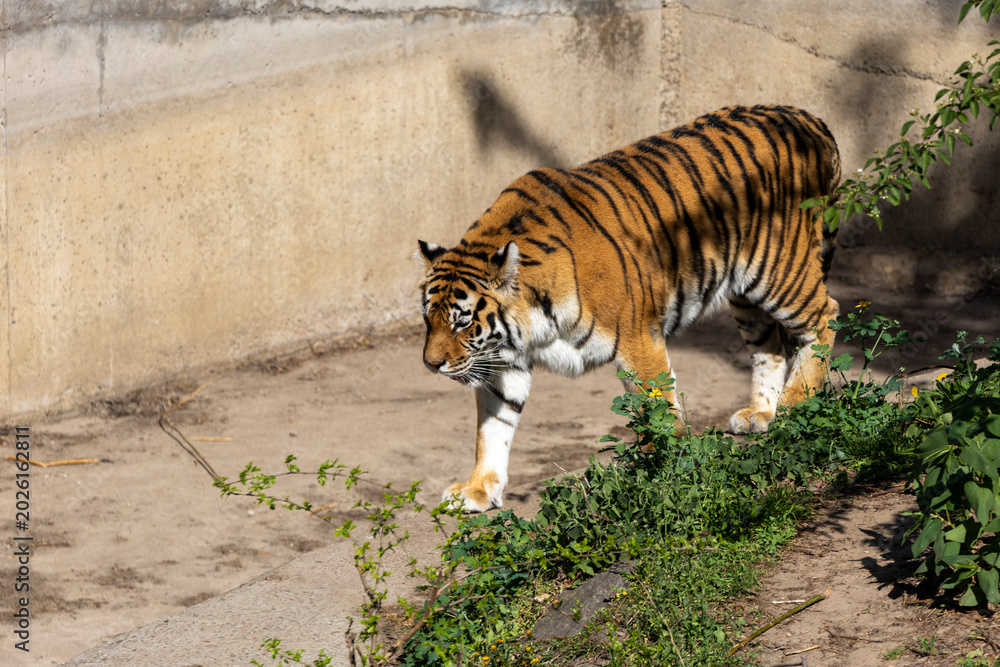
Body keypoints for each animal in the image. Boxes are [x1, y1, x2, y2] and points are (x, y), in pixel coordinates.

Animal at [418, 104, 841, 513]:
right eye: (429, 319)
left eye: (462, 323)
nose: (431, 365)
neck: (530, 322)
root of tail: (809, 118)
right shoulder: (501, 363)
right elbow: (492, 429)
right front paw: (477, 490)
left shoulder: (637, 338)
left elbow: (659, 409)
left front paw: (667, 471)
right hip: (745, 297)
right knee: (771, 346)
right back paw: (761, 414)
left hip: (777, 272)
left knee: (826, 317)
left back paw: (795, 406)